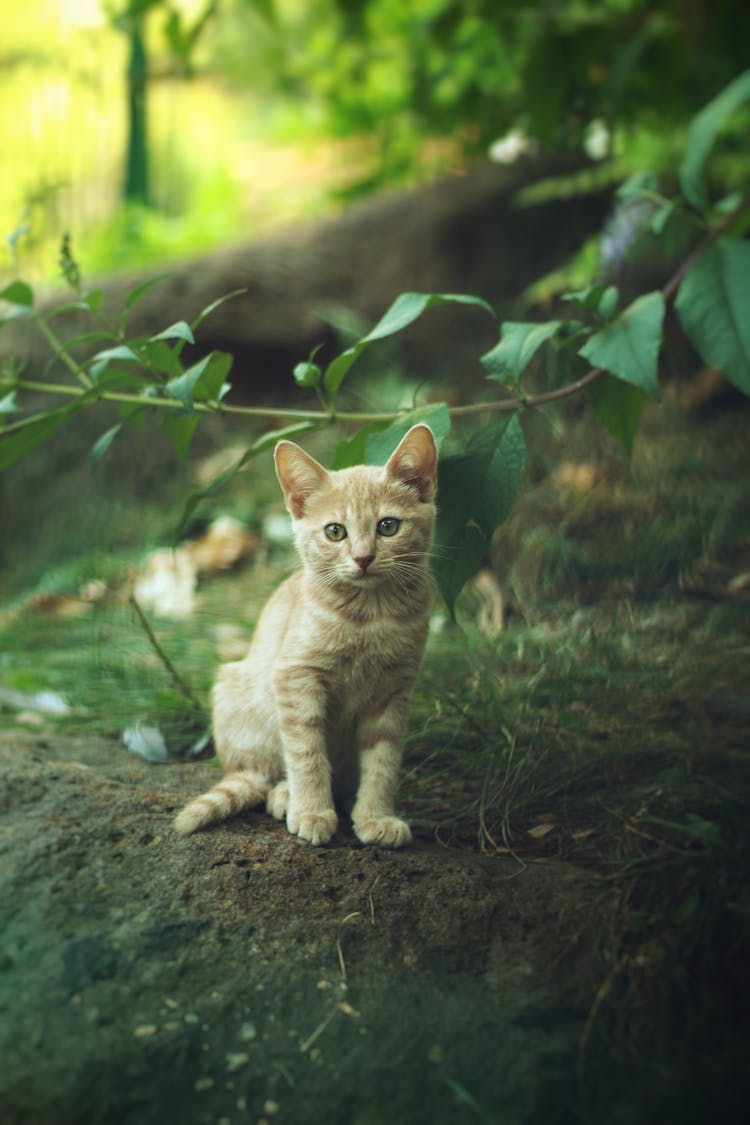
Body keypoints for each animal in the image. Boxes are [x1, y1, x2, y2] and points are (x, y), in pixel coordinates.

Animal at [173, 425, 436, 846]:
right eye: (335, 531)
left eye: (388, 526)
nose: (363, 558)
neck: (370, 615)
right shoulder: (297, 677)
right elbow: (306, 753)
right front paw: (312, 811)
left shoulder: (394, 690)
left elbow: (383, 760)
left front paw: (376, 816)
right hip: (238, 697)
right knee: (261, 777)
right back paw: (284, 794)